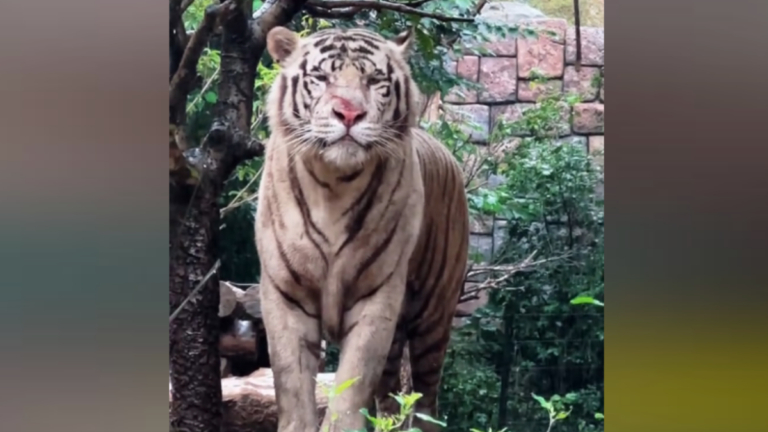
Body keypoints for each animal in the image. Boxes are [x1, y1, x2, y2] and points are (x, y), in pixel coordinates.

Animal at [255, 25, 469, 432]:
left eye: (374, 80)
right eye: (321, 78)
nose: (350, 113)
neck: (333, 185)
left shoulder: (376, 296)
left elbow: (351, 387)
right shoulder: (285, 293)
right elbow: (292, 387)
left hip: (433, 315)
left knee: (426, 399)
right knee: (389, 398)